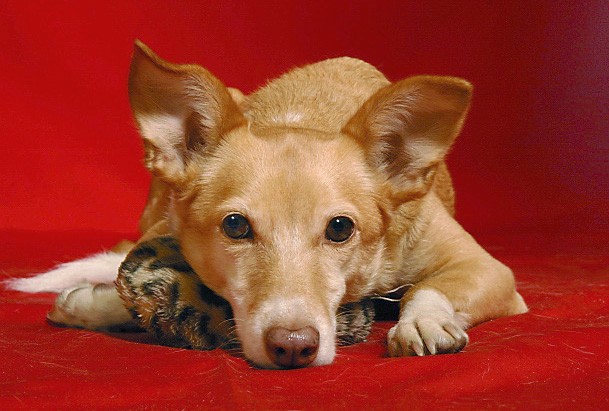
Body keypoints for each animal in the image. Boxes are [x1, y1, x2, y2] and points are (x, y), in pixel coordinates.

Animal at [9, 41, 527, 368]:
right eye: (236, 226)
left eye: (341, 228)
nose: (293, 347)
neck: (304, 115)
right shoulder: (166, 232)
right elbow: (143, 276)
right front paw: (95, 304)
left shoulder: (488, 268)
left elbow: (430, 287)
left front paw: (423, 321)